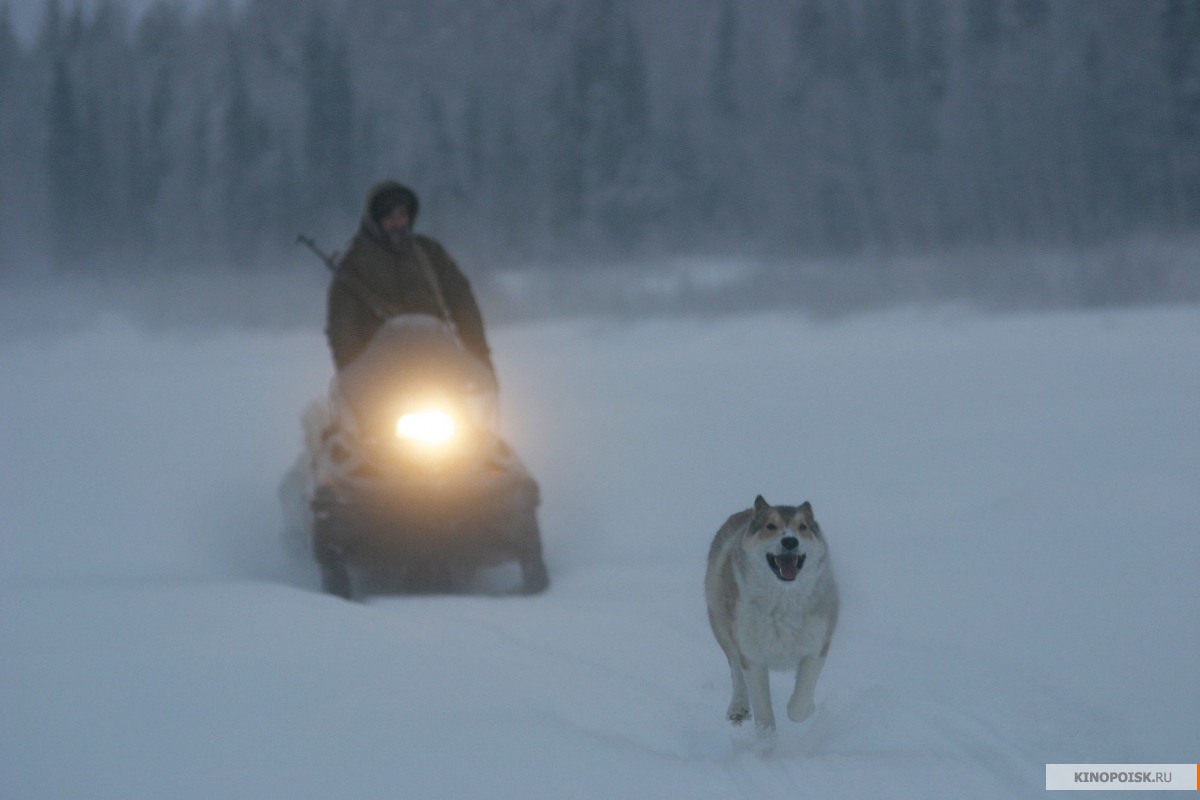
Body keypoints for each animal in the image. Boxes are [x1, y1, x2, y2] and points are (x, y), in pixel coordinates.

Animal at [700, 496, 835, 734]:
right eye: (770, 526)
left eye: (803, 527)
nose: (789, 541)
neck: (782, 602)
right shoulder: (752, 655)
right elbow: (763, 712)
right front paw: (767, 739)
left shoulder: (817, 645)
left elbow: (799, 705)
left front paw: (806, 708)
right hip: (722, 629)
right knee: (736, 670)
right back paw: (738, 707)